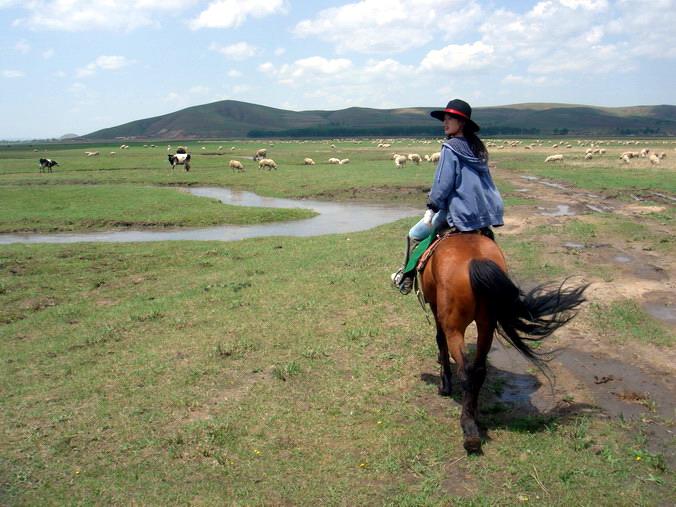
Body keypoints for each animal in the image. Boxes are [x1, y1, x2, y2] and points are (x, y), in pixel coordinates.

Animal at [420, 234, 588, 456]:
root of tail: (475, 259)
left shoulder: (434, 305)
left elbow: (439, 339)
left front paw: (444, 383)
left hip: (454, 326)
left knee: (465, 369)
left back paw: (469, 431)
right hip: (486, 324)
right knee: (478, 369)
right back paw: (473, 420)